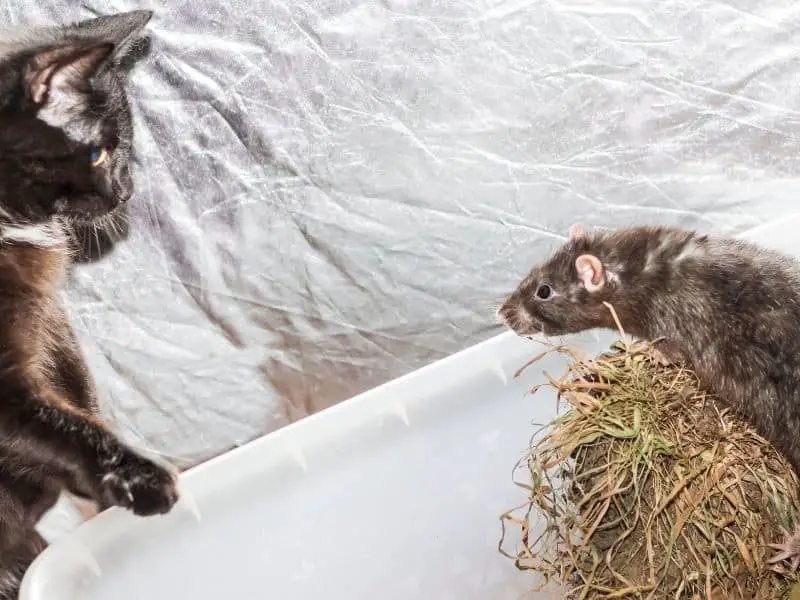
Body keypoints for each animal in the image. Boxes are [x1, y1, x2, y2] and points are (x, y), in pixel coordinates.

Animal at [0, 9, 178, 596]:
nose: (127, 191)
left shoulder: (49, 320)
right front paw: (140, 480)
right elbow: (52, 424)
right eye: (99, 152)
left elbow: (77, 392)